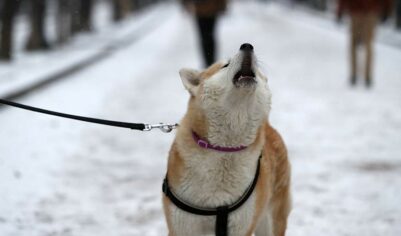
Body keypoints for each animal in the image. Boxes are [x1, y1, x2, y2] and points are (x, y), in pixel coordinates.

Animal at [162, 43, 290, 235]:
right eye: (225, 65)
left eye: (258, 70)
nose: (247, 46)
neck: (225, 149)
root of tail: (269, 127)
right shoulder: (183, 228)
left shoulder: (240, 227)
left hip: (270, 221)